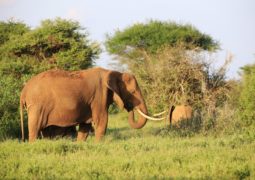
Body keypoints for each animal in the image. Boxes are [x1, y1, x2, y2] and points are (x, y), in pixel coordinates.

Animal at [21, 67, 151, 141]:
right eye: (133, 92)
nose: (130, 107)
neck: (114, 73)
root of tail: (24, 91)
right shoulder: (99, 96)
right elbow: (102, 121)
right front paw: (99, 145)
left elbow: (85, 127)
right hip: (37, 106)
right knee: (35, 128)